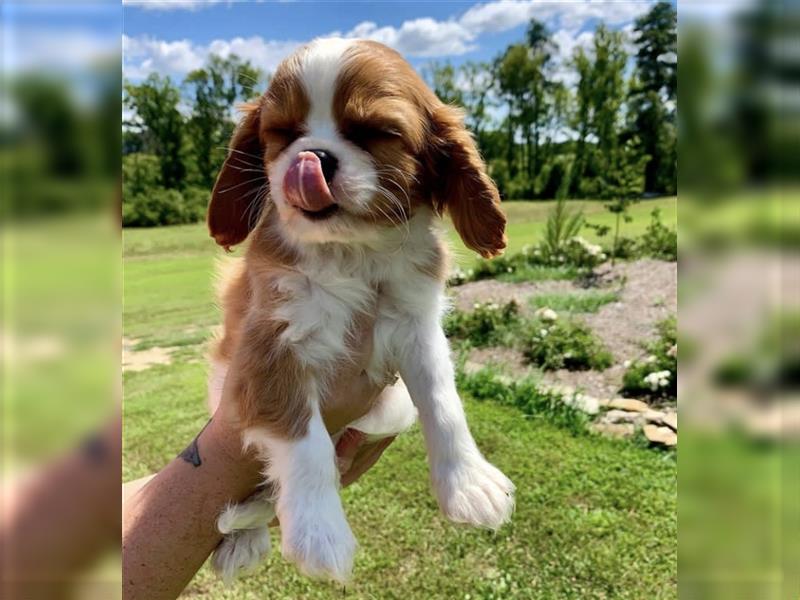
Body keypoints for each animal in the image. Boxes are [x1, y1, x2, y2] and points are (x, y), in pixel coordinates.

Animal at [206, 37, 512, 580]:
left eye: (375, 133)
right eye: (282, 133)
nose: (312, 156)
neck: (351, 251)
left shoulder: (418, 329)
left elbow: (443, 402)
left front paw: (469, 484)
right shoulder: (271, 344)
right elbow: (304, 440)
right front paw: (319, 534)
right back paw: (244, 537)